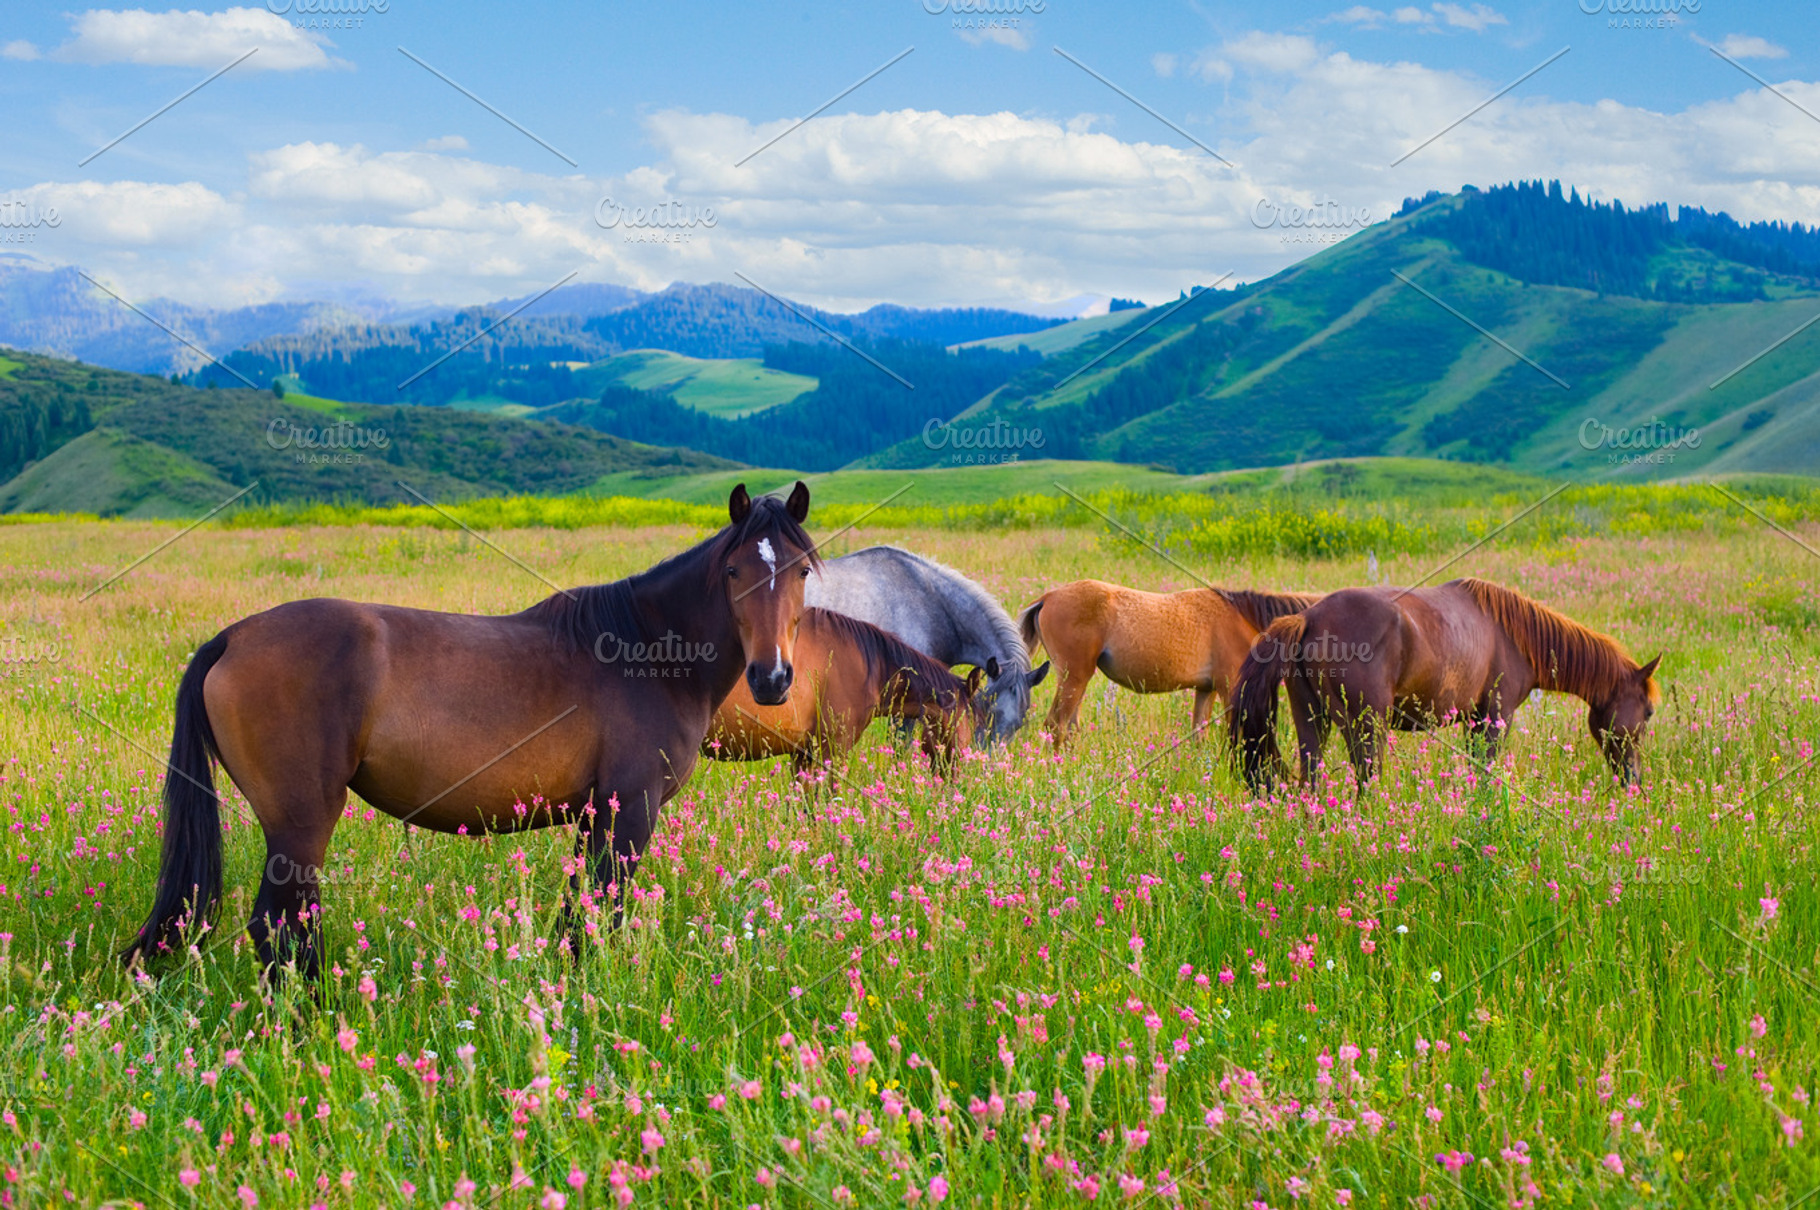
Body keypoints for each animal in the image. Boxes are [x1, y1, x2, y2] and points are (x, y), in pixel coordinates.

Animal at [121, 483, 819, 979]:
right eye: (733, 572)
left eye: (802, 571)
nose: (772, 678)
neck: (644, 650)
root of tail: (233, 637)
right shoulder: (630, 807)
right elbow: (602, 913)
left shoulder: (595, 812)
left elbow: (577, 916)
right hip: (300, 823)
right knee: (279, 928)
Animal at [1016, 580, 1320, 747]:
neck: (1244, 619)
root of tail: (1047, 598)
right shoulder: (1230, 688)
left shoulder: (1206, 690)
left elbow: (1199, 735)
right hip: (1074, 677)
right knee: (1056, 725)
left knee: (1069, 727)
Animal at [1230, 577, 1660, 792]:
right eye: (1649, 712)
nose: (1634, 782)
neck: (1514, 634)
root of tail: (1309, 618)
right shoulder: (1496, 717)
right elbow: (1486, 772)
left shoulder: (1473, 720)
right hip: (1364, 725)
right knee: (1366, 783)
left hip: (1311, 721)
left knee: (1312, 784)